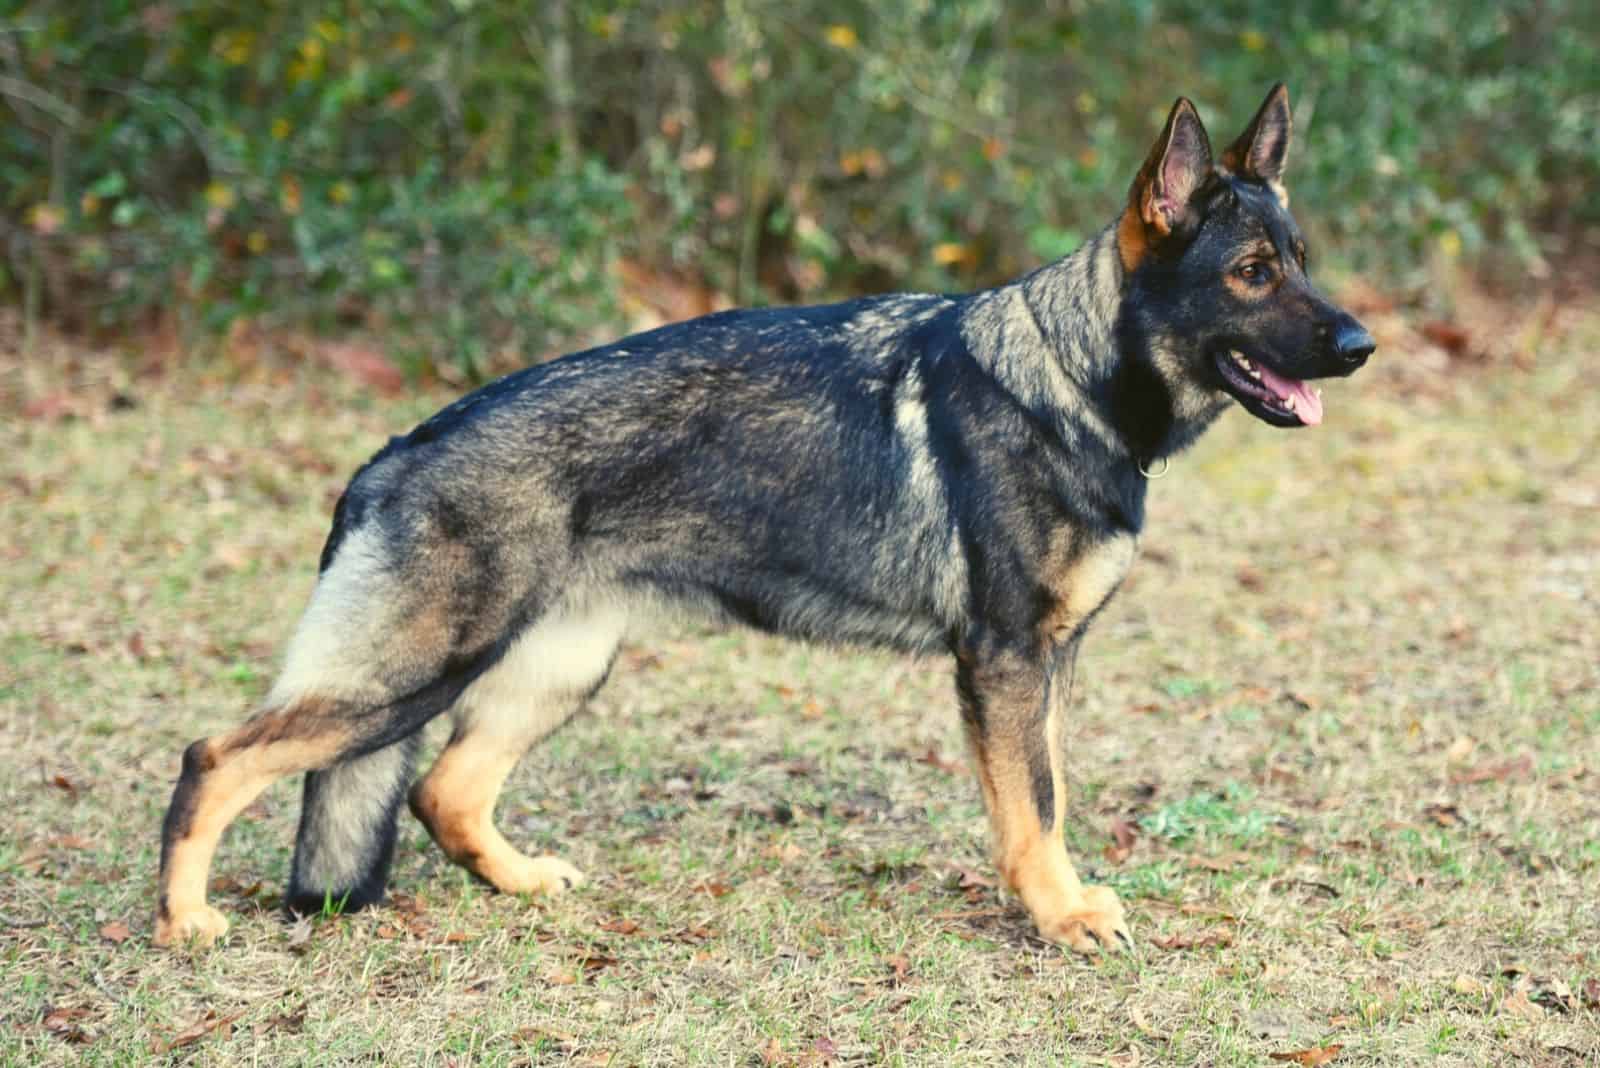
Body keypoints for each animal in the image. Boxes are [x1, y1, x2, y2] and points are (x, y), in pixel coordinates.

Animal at [152, 85, 1376, 952]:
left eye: (1300, 262)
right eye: (1252, 273)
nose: (1363, 345)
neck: (1070, 378)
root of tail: (392, 453)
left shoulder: (1045, 667)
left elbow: (1051, 798)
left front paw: (1055, 902)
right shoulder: (1005, 663)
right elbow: (1032, 806)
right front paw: (1060, 916)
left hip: (556, 668)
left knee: (441, 792)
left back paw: (523, 882)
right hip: (416, 674)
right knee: (215, 755)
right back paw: (184, 922)